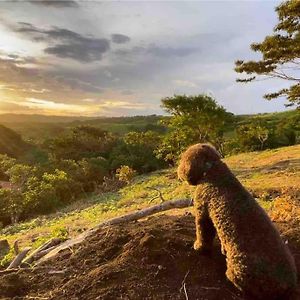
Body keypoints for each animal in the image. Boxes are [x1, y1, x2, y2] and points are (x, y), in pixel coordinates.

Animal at [178, 144, 298, 298]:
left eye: (183, 159)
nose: (178, 172)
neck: (212, 168)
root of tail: (289, 286)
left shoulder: (202, 209)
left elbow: (203, 232)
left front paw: (199, 247)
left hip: (239, 268)